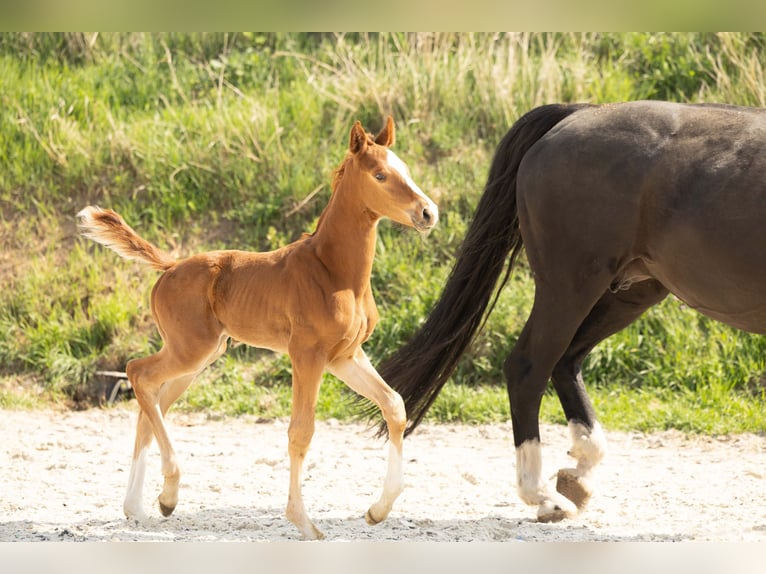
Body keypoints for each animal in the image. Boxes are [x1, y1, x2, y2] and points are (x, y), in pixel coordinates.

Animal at [77, 117, 438, 540]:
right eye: (380, 174)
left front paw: (377, 511)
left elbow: (394, 405)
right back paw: (166, 492)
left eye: (406, 169)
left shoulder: (345, 356)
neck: (334, 271)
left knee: (151, 400)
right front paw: (303, 522)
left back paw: (144, 505)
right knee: (138, 373)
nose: (428, 212)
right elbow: (301, 431)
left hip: (199, 358)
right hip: (190, 351)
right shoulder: (307, 355)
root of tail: (170, 267)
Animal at [376, 100, 766, 523]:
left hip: (629, 292)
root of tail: (576, 115)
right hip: (570, 286)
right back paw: (543, 495)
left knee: (566, 361)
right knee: (529, 367)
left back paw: (578, 474)